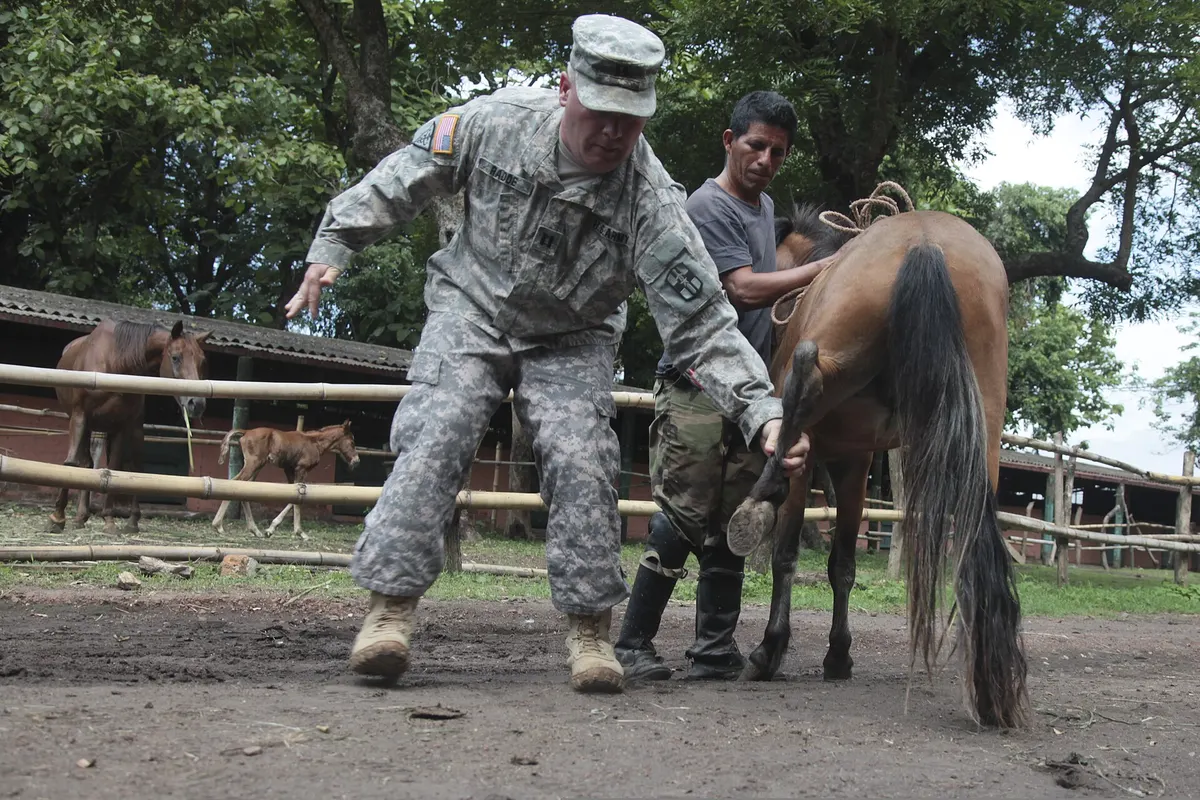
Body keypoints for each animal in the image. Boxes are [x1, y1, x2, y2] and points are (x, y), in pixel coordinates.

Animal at [49, 319, 211, 534]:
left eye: (203, 362)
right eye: (175, 358)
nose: (197, 404)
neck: (115, 362)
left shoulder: (122, 425)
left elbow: (116, 469)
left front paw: (110, 519)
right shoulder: (79, 417)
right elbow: (70, 464)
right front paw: (57, 517)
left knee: (116, 466)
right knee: (86, 464)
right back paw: (80, 516)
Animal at [211, 421, 360, 539]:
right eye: (352, 442)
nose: (356, 461)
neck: (314, 442)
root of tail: (246, 432)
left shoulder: (289, 470)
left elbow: (293, 497)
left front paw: (273, 529)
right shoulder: (301, 469)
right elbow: (297, 500)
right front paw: (299, 532)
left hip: (257, 466)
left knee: (242, 486)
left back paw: (253, 530)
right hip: (253, 464)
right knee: (237, 483)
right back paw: (219, 525)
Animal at [725, 200, 1029, 729]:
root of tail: (925, 241)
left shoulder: (821, 461)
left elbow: (787, 555)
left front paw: (773, 648)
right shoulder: (857, 461)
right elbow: (843, 565)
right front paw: (838, 655)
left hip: (837, 354)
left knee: (805, 373)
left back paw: (760, 497)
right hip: (984, 415)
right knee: (974, 538)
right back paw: (987, 685)